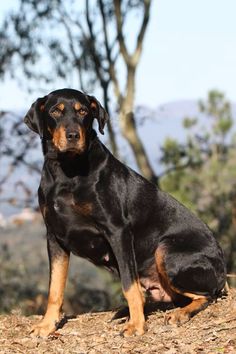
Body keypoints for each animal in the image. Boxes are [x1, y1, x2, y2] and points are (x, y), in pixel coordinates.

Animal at [24, 88, 227, 338]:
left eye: (83, 111)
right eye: (55, 111)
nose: (73, 135)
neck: (67, 172)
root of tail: (222, 270)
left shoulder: (117, 231)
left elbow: (130, 285)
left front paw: (137, 325)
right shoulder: (55, 236)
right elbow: (55, 287)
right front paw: (47, 325)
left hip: (167, 250)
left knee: (208, 295)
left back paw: (179, 314)